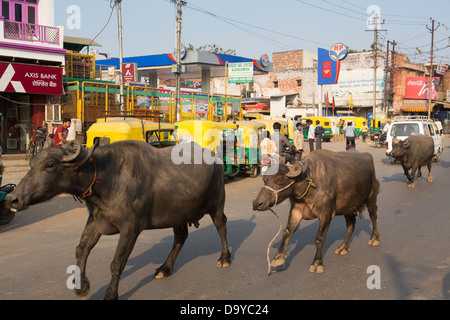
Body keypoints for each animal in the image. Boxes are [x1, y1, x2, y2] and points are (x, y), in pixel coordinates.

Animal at [6, 140, 232, 300]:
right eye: (31, 164)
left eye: (50, 165)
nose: (11, 199)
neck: (105, 178)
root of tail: (215, 158)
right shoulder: (95, 220)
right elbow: (81, 249)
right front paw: (82, 288)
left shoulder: (131, 227)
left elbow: (117, 263)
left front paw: (109, 295)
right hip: (178, 213)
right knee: (180, 237)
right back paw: (165, 269)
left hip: (217, 203)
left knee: (222, 226)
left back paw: (224, 258)